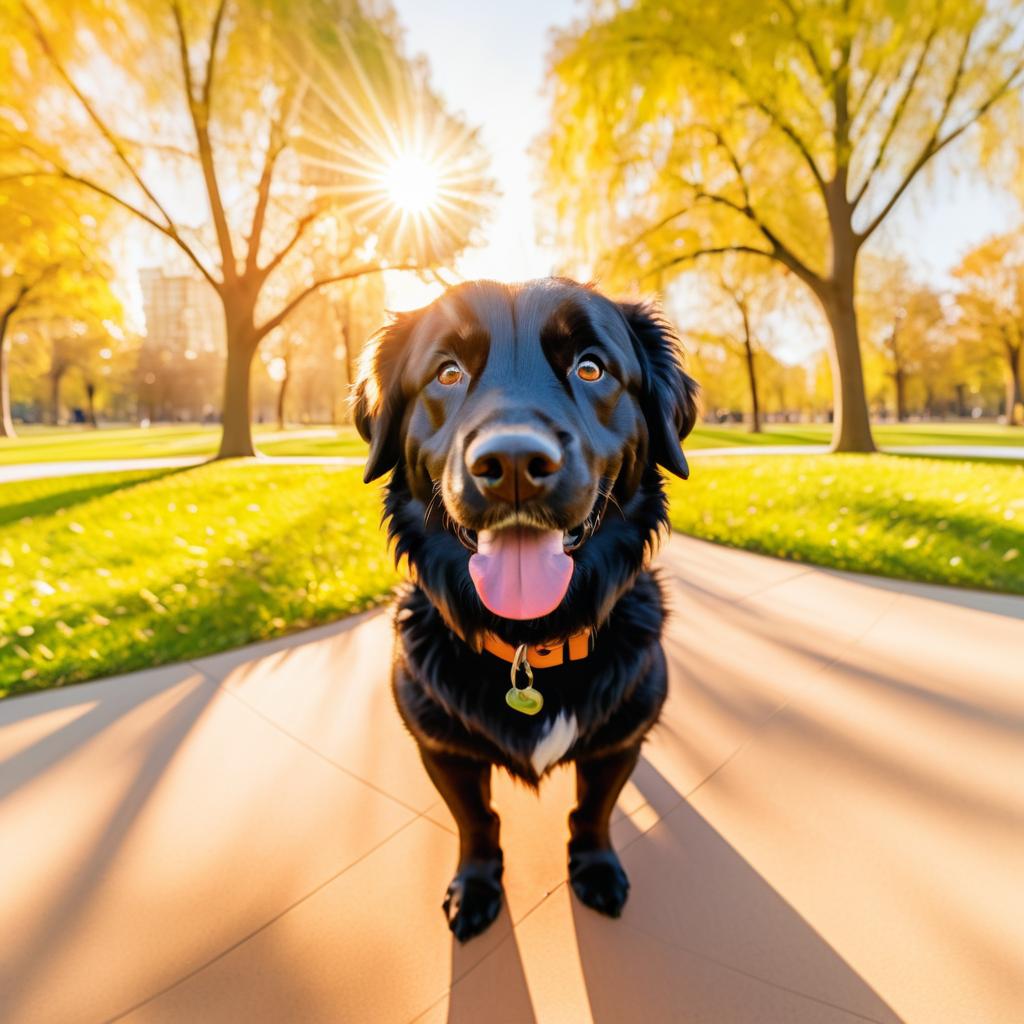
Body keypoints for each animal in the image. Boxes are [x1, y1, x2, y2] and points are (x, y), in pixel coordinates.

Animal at [352, 276, 696, 937]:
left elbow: (592, 811)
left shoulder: (618, 744)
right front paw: (476, 885)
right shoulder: (443, 750)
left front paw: (595, 868)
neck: (527, 641)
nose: (512, 463)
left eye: (591, 368)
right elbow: (477, 822)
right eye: (448, 373)